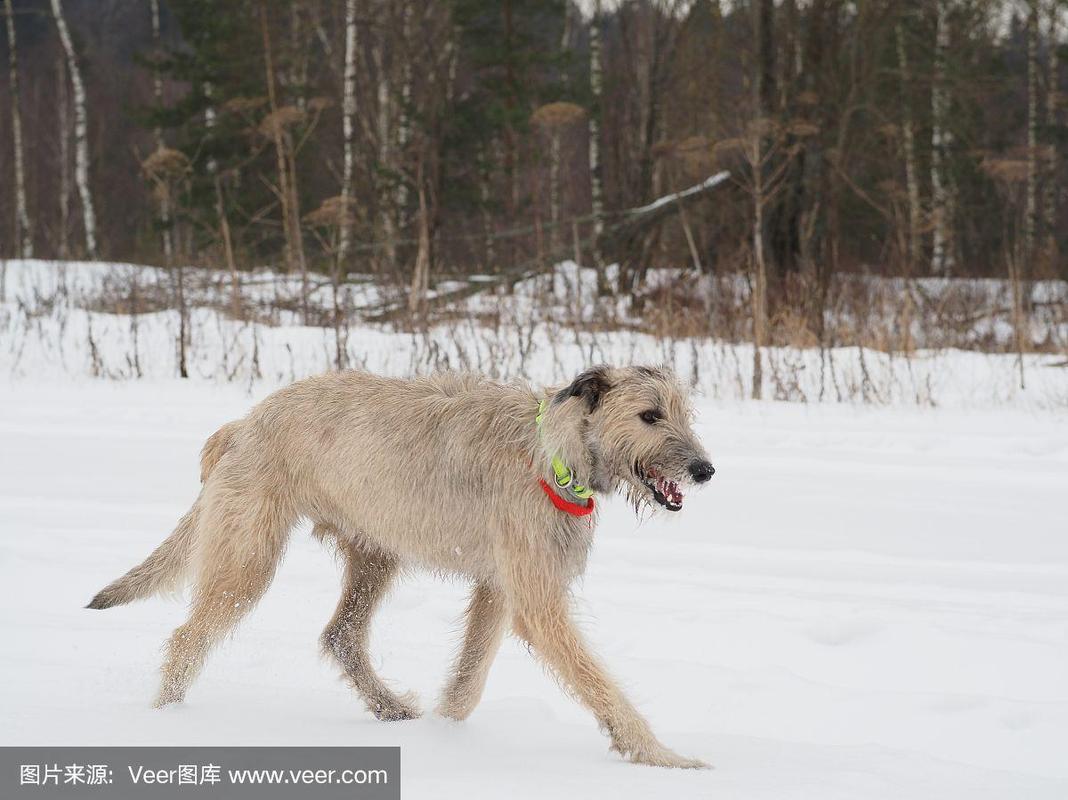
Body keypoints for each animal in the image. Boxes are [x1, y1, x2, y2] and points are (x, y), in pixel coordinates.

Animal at [87, 367, 713, 769]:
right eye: (649, 415)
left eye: (684, 414)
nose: (705, 470)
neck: (553, 453)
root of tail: (242, 424)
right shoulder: (537, 598)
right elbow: (597, 681)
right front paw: (661, 755)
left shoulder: (498, 584)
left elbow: (470, 675)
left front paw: (447, 732)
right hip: (247, 556)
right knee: (188, 637)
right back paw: (165, 719)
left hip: (374, 553)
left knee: (340, 634)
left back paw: (389, 708)